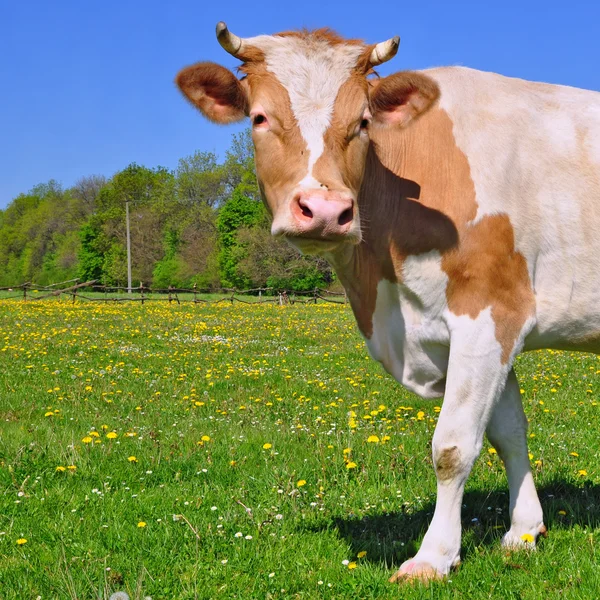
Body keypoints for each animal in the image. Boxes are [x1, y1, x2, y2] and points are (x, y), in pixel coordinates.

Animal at [177, 22, 600, 580]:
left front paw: (433, 557)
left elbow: (453, 446)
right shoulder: (485, 332)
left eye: (362, 122)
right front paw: (524, 533)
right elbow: (509, 433)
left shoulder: (490, 313)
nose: (325, 209)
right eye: (259, 117)